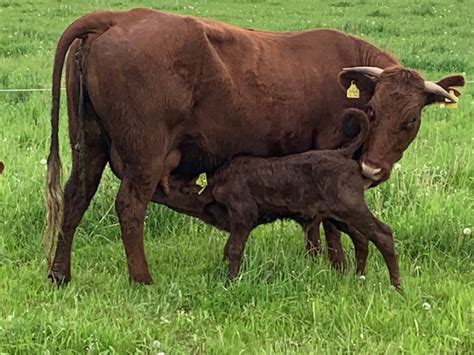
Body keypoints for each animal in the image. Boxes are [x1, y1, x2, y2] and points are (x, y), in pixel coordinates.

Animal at [155, 110, 400, 288]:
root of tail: (342, 153)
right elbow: (227, 248)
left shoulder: (243, 214)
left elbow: (234, 248)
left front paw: (229, 282)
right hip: (339, 215)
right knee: (361, 239)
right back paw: (359, 277)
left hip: (352, 208)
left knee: (383, 234)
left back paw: (396, 286)